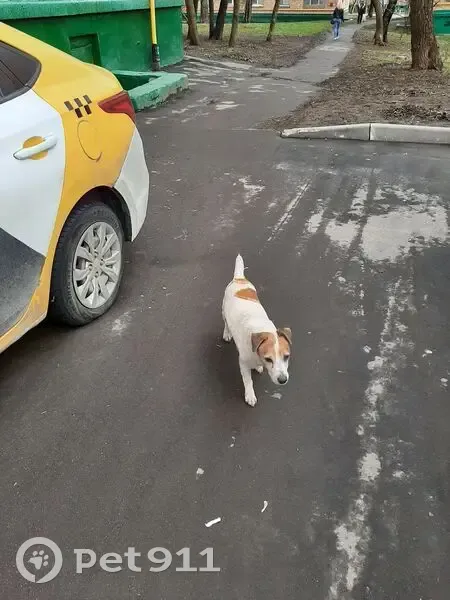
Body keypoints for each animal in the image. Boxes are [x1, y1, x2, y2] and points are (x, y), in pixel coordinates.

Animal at [222, 254, 292, 407]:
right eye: (268, 359)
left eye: (286, 356)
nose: (283, 380)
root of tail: (239, 278)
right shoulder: (243, 363)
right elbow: (248, 381)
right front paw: (250, 395)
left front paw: (258, 367)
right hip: (224, 312)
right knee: (226, 323)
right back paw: (227, 333)